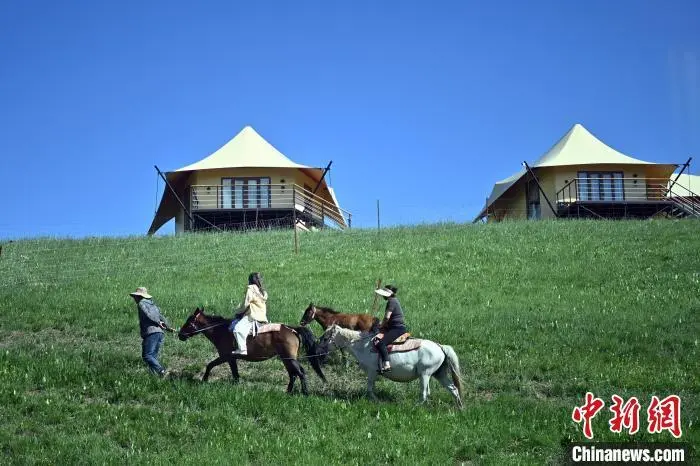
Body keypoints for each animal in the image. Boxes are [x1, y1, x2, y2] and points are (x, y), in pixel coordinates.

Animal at [178, 307, 326, 395]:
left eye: (189, 323)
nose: (180, 335)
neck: (221, 330)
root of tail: (292, 329)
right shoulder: (232, 359)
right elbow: (235, 373)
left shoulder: (226, 356)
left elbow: (210, 365)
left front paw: (204, 379)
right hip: (286, 359)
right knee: (293, 374)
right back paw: (288, 391)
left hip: (289, 358)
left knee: (300, 372)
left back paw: (305, 392)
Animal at [318, 324, 463, 408]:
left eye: (325, 338)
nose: (318, 352)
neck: (363, 345)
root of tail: (440, 346)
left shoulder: (372, 372)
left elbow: (369, 388)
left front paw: (376, 401)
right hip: (439, 374)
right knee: (454, 389)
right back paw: (460, 407)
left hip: (425, 375)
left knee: (424, 394)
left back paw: (413, 408)